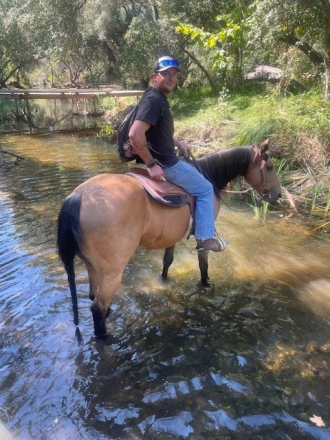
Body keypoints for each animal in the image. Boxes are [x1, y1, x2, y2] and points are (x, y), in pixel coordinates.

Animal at [56, 138, 282, 340]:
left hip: (92, 266)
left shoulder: (172, 235)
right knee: (98, 308)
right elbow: (203, 264)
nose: (278, 195)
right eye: (270, 167)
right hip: (113, 272)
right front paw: (206, 284)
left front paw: (163, 281)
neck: (209, 175)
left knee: (93, 296)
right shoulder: (203, 235)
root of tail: (78, 197)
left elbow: (167, 261)